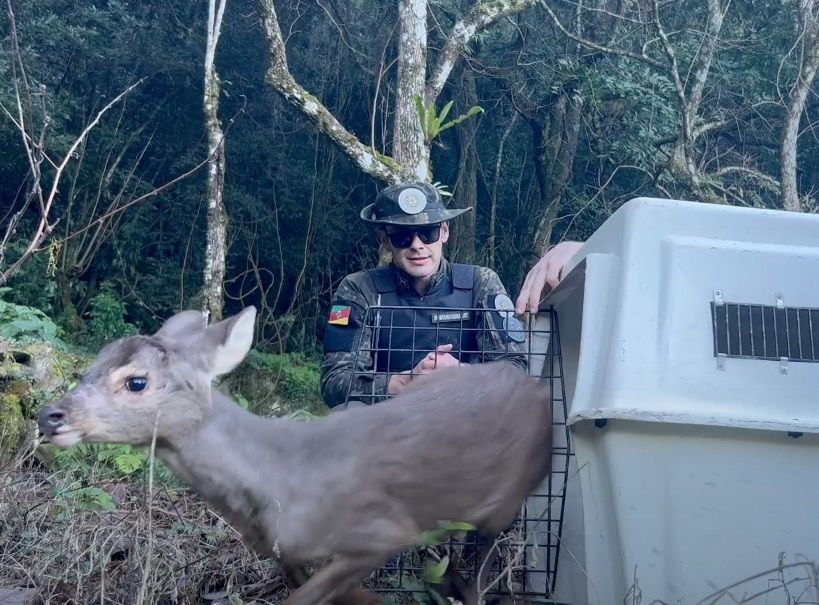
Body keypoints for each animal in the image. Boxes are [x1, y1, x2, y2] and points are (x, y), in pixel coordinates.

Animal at [36, 306, 552, 604]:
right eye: (94, 362)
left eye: (136, 381)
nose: (48, 416)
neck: (282, 479)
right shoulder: (283, 551)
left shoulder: (382, 531)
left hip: (511, 496)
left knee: (483, 558)